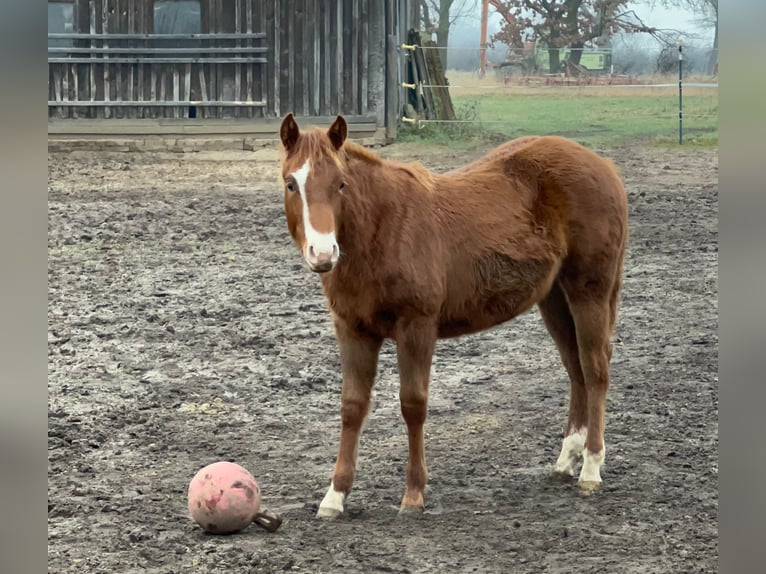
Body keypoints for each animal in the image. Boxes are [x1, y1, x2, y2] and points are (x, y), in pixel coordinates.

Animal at [280, 115, 628, 520]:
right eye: (291, 183)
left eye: (340, 183)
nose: (323, 253)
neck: (384, 230)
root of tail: (604, 166)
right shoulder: (352, 329)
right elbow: (352, 407)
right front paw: (335, 496)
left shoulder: (417, 327)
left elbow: (413, 404)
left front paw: (414, 493)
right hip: (554, 298)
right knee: (576, 370)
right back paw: (566, 459)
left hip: (590, 291)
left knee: (594, 369)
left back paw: (590, 468)